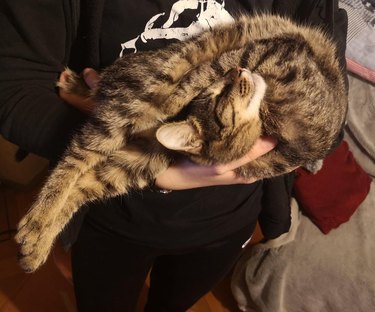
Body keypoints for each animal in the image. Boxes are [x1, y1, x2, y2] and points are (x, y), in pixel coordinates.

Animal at [15, 14, 350, 272]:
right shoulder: (266, 51)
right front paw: (174, 100)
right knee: (77, 156)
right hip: (127, 109)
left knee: (83, 186)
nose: (238, 74)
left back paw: (36, 245)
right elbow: (201, 74)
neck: (270, 117)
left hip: (137, 164)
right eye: (219, 94)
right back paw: (36, 224)